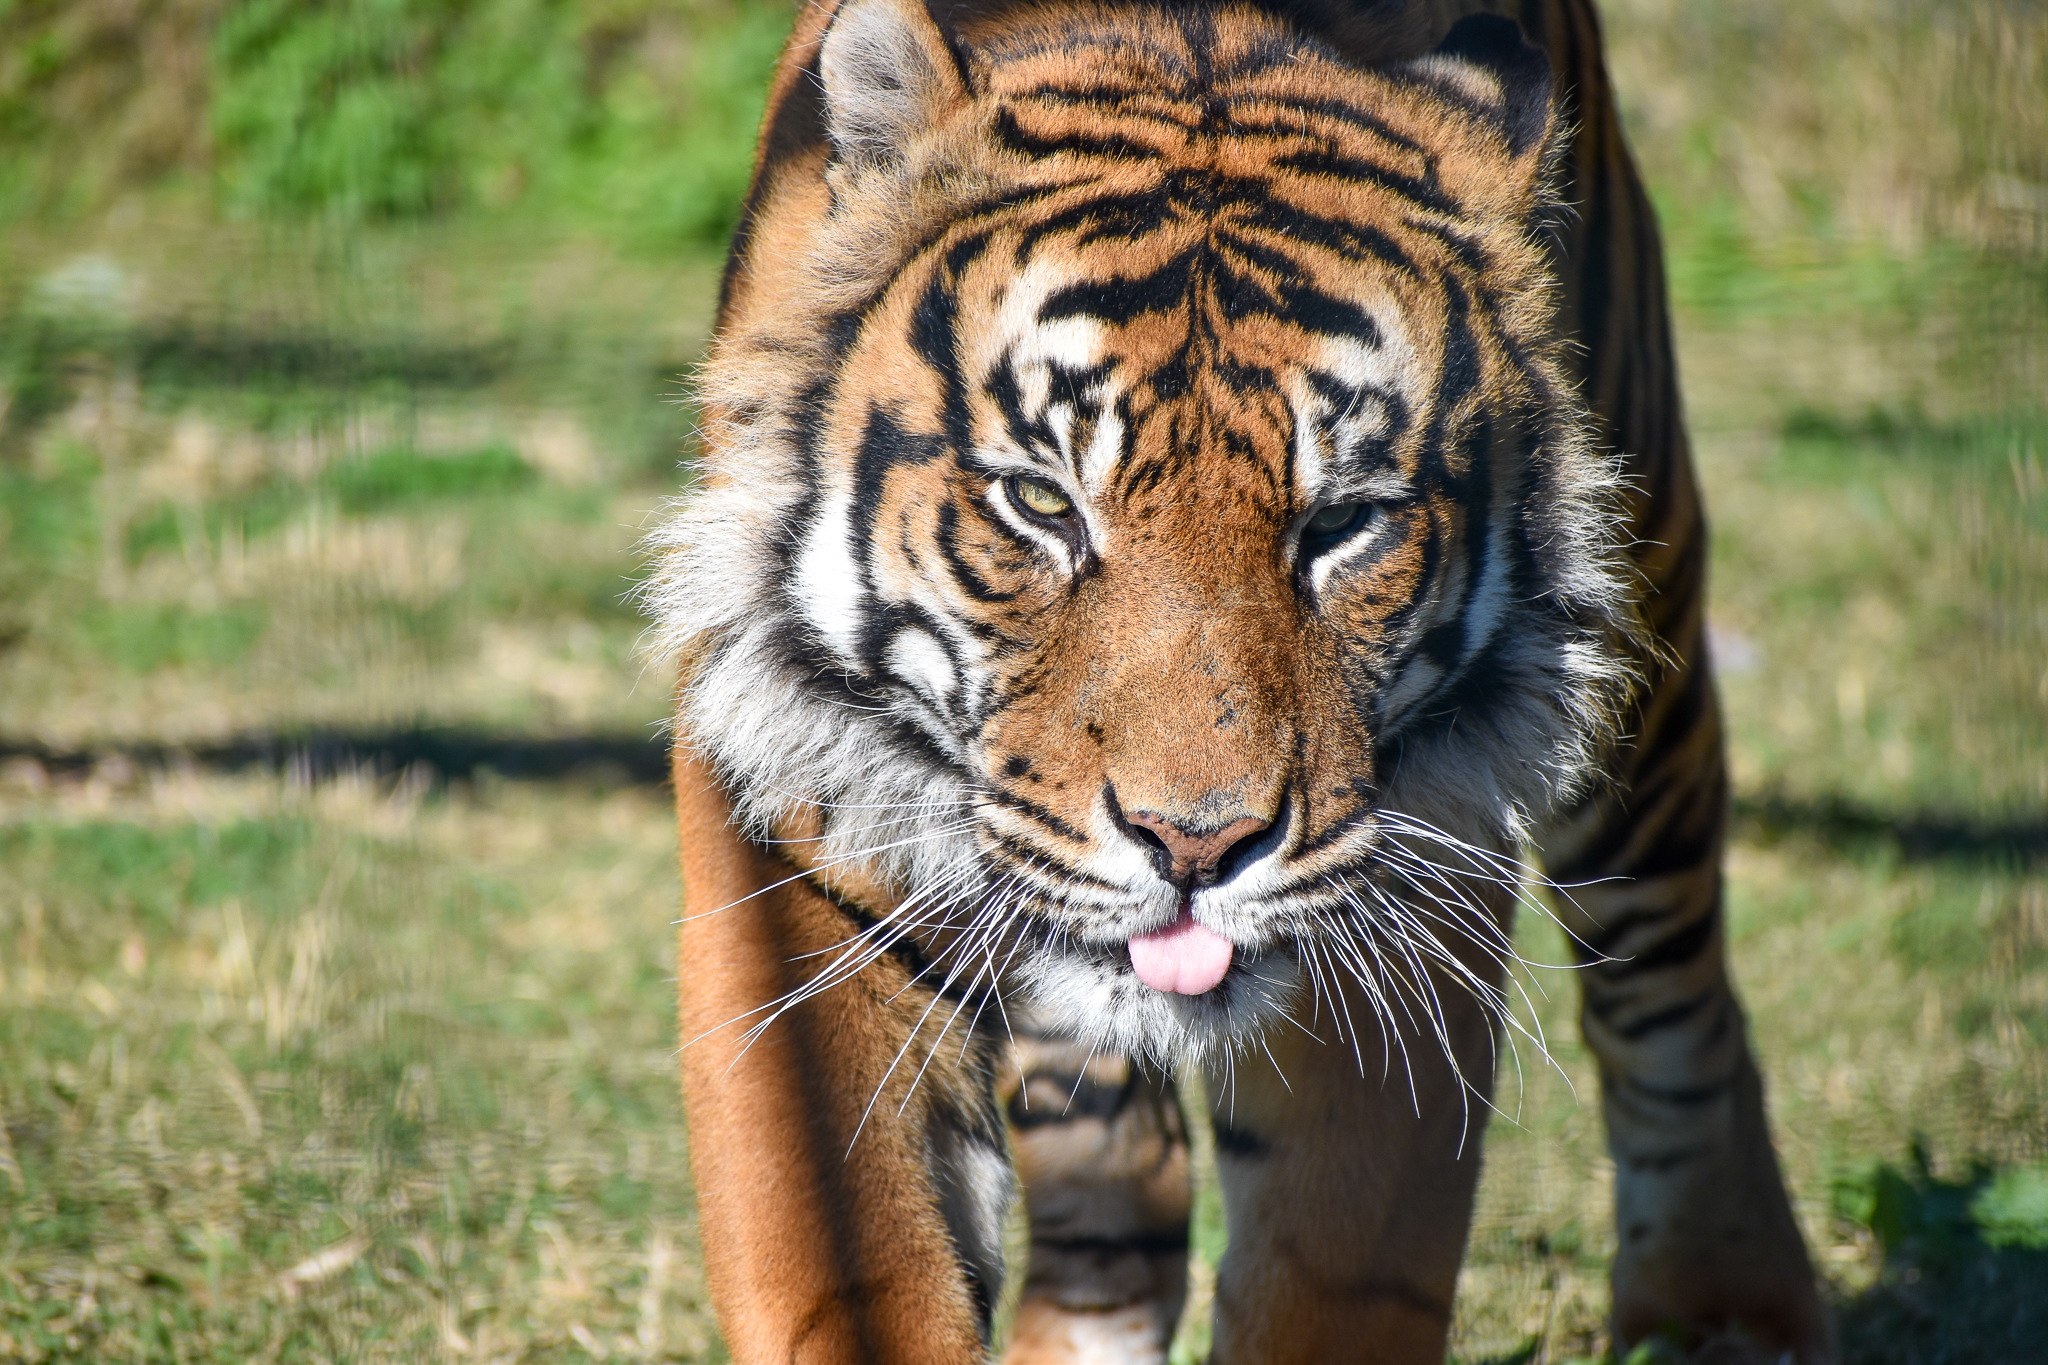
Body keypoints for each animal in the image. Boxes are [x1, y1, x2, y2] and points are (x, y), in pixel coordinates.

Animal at [647, 0, 1835, 1360]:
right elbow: (853, 1273)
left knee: (1669, 970)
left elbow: (1332, 1273)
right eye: (1040, 503)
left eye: (1342, 525)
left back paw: (1722, 1303)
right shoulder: (794, 856)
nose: (1195, 845)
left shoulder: (1399, 903)